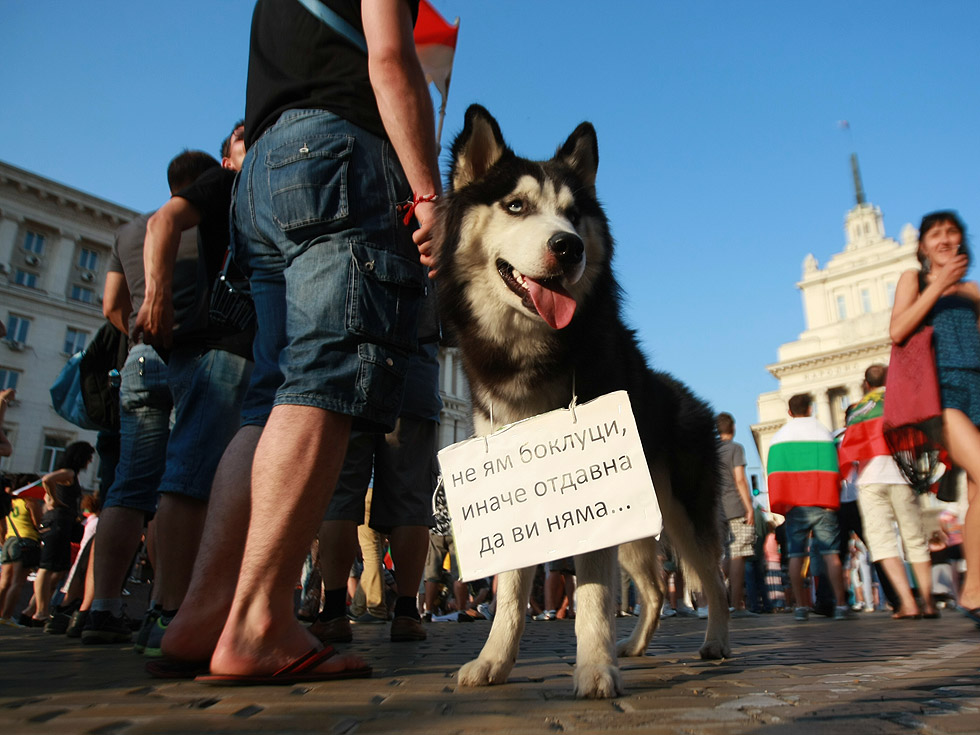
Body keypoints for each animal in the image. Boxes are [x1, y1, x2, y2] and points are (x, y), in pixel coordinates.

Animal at [434, 106, 728, 700]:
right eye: (516, 205)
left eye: (573, 214)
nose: (570, 246)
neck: (534, 354)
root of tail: (690, 397)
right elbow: (510, 595)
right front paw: (494, 662)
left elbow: (592, 595)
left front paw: (593, 669)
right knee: (656, 589)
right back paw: (635, 647)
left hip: (684, 518)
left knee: (715, 583)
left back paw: (715, 643)